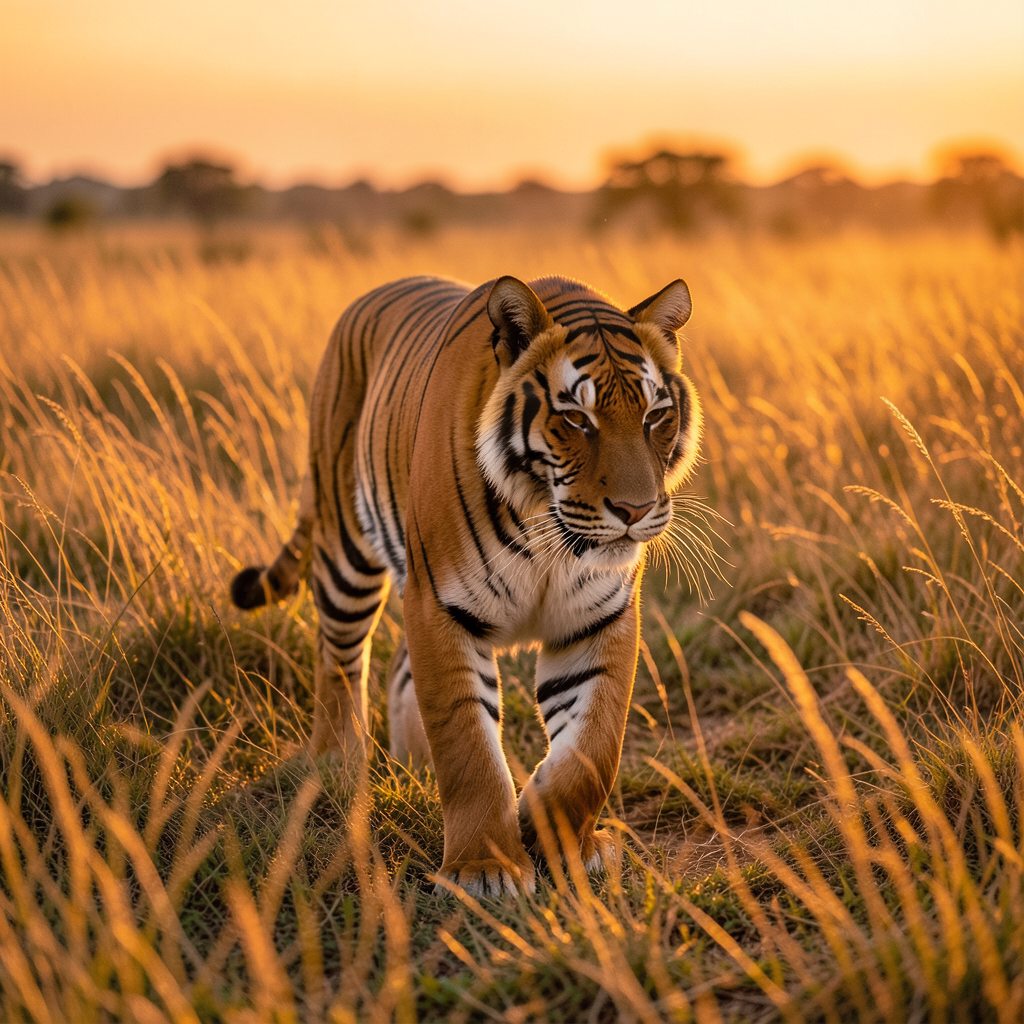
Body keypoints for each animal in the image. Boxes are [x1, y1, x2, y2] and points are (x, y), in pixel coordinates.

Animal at [229, 273, 703, 897]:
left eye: (655, 416)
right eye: (577, 420)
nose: (635, 510)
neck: (548, 527)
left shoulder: (599, 618)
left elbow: (592, 749)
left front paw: (557, 834)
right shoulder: (441, 608)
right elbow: (469, 746)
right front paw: (486, 869)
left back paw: (412, 766)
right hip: (345, 550)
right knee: (339, 660)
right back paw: (337, 763)